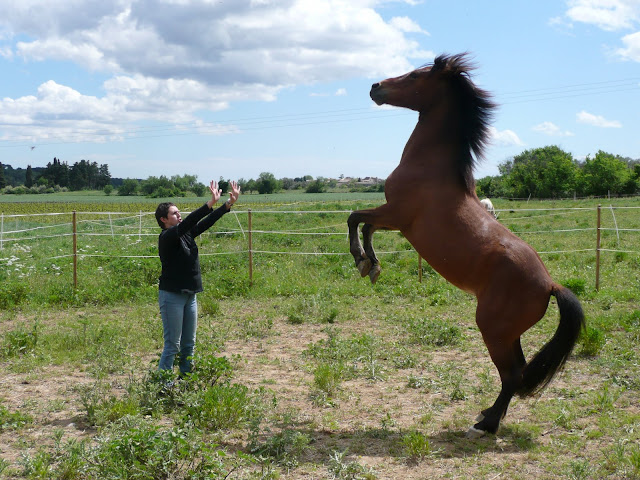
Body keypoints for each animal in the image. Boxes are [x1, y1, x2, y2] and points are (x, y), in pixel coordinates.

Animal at [350, 53, 584, 438]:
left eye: (415, 75)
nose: (375, 87)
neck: (430, 169)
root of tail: (550, 284)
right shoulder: (394, 219)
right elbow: (367, 225)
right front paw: (372, 266)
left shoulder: (397, 214)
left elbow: (355, 217)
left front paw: (360, 260)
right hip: (508, 334)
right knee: (517, 372)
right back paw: (488, 414)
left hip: (493, 330)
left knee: (512, 375)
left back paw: (485, 425)